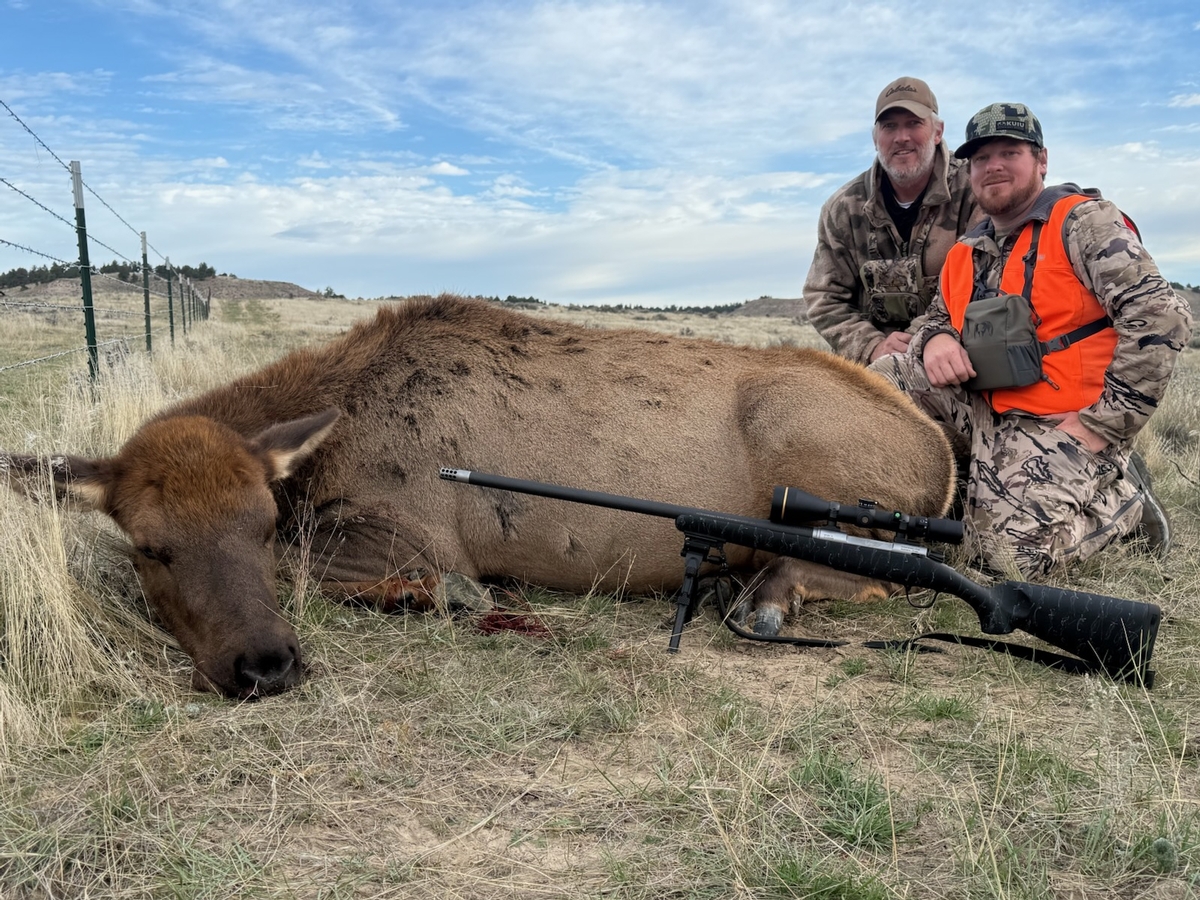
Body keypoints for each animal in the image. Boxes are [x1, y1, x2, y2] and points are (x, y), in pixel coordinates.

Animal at [1, 295, 955, 699]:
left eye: (264, 523)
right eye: (148, 545)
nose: (264, 664)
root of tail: (940, 454)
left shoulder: (421, 532)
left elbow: (345, 572)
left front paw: (439, 595)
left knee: (877, 571)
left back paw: (765, 597)